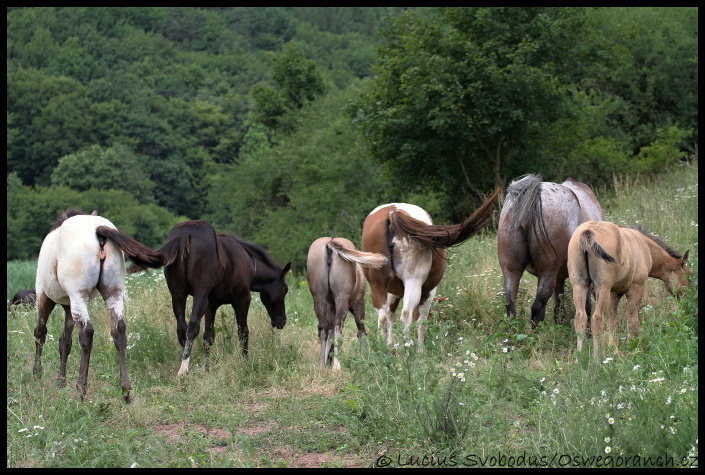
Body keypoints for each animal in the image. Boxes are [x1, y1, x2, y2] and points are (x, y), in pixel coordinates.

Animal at [33, 207, 162, 402]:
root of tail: (98, 230)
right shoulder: (69, 306)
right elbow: (65, 342)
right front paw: (60, 381)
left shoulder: (44, 297)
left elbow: (41, 333)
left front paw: (37, 373)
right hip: (113, 293)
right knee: (119, 330)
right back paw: (125, 390)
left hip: (78, 296)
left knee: (86, 333)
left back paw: (81, 389)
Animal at [306, 238, 388, 372]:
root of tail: (330, 243)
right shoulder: (358, 302)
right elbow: (361, 331)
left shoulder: (330, 306)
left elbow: (328, 332)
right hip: (342, 298)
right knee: (338, 326)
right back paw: (337, 366)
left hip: (319, 297)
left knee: (323, 328)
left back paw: (322, 366)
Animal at [364, 188, 500, 348]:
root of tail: (393, 213)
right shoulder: (428, 293)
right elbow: (421, 321)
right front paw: (420, 348)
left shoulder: (392, 293)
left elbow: (391, 316)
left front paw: (391, 346)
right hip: (413, 281)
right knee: (407, 314)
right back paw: (409, 349)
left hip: (377, 285)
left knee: (383, 318)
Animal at [496, 174, 604, 328]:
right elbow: (586, 307)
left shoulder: (560, 277)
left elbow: (560, 304)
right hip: (547, 271)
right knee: (537, 308)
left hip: (511, 270)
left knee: (510, 308)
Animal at [568, 223, 692, 360]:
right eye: (689, 276)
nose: (690, 298)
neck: (644, 245)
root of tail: (588, 231)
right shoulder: (636, 288)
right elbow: (632, 322)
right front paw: (632, 348)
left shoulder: (614, 294)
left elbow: (612, 321)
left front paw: (614, 350)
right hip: (602, 287)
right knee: (597, 319)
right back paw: (596, 359)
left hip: (580, 285)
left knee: (581, 318)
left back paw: (578, 359)